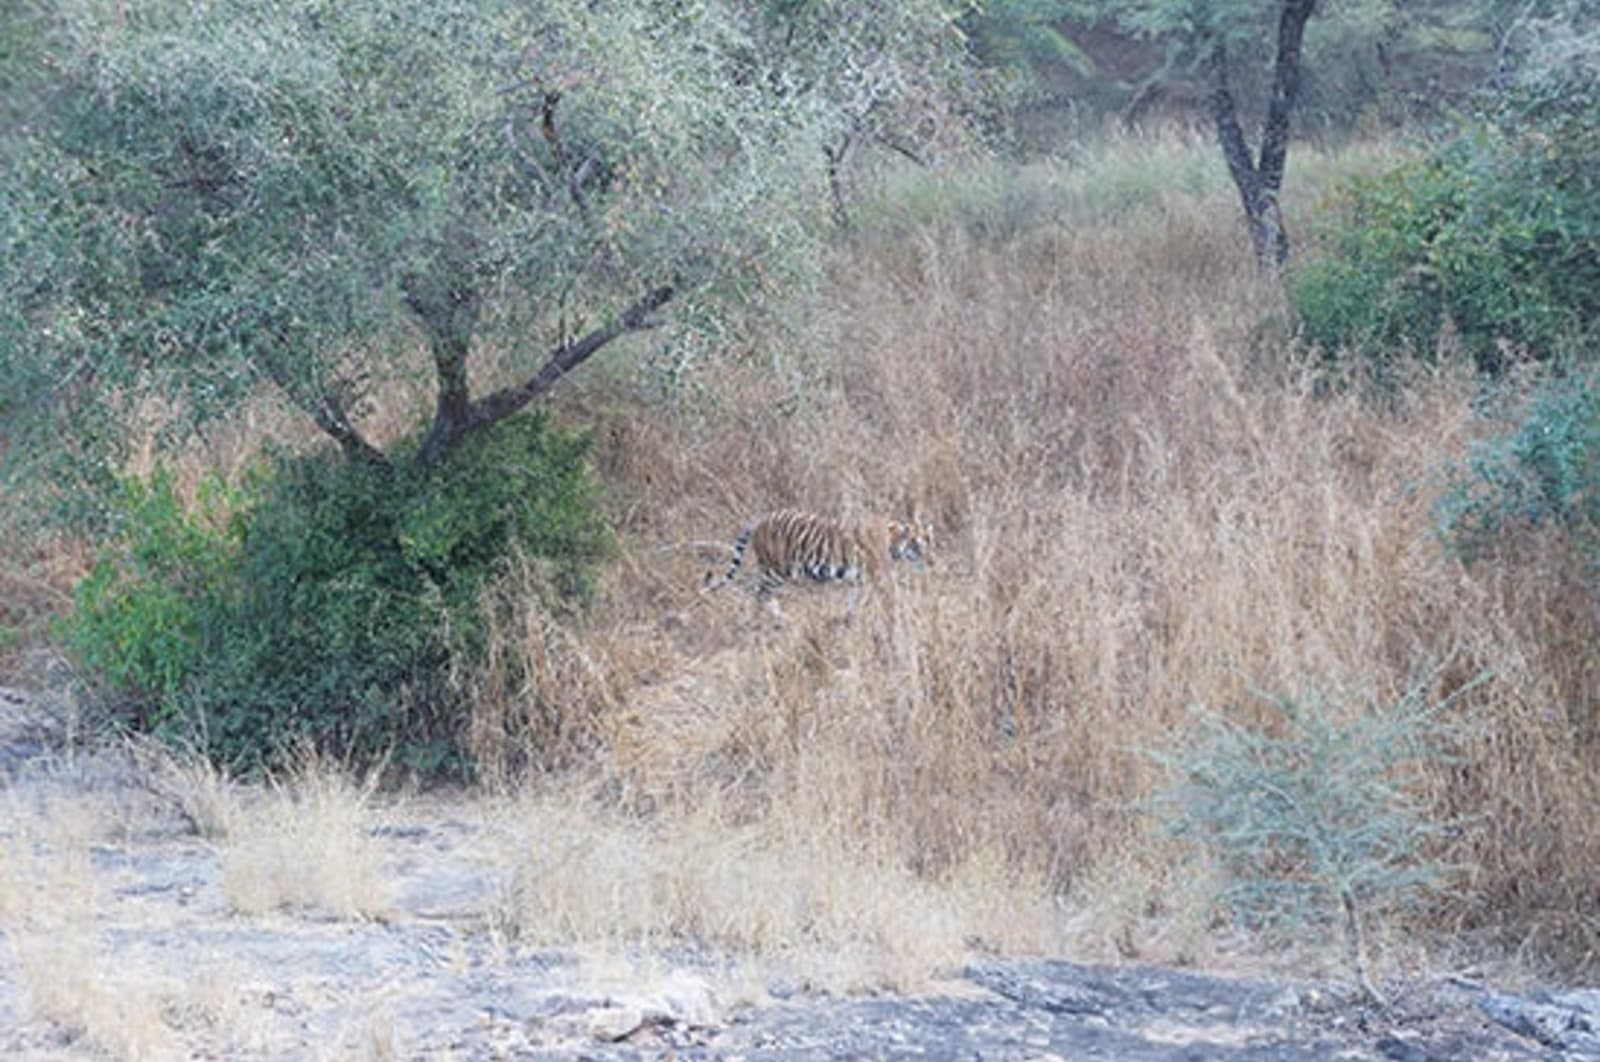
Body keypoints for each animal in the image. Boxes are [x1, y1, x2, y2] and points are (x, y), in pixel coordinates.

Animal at [702, 509, 931, 616]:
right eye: (916, 544)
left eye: (929, 542)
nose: (930, 561)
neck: (893, 542)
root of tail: (760, 519)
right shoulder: (879, 578)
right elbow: (888, 600)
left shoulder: (857, 581)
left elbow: (853, 602)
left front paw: (849, 621)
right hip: (775, 570)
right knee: (760, 594)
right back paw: (778, 621)